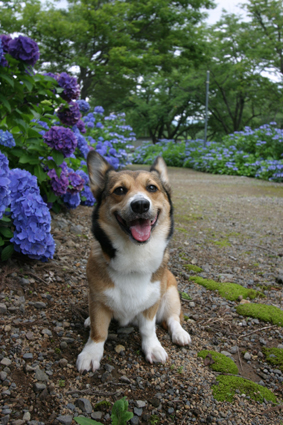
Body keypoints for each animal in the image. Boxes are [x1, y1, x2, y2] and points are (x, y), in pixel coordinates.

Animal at [76, 150, 192, 372]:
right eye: (120, 190)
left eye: (152, 188)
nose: (140, 205)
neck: (135, 256)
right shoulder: (97, 300)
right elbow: (98, 331)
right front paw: (91, 353)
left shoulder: (151, 304)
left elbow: (148, 329)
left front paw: (153, 348)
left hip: (171, 293)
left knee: (173, 318)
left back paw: (180, 334)